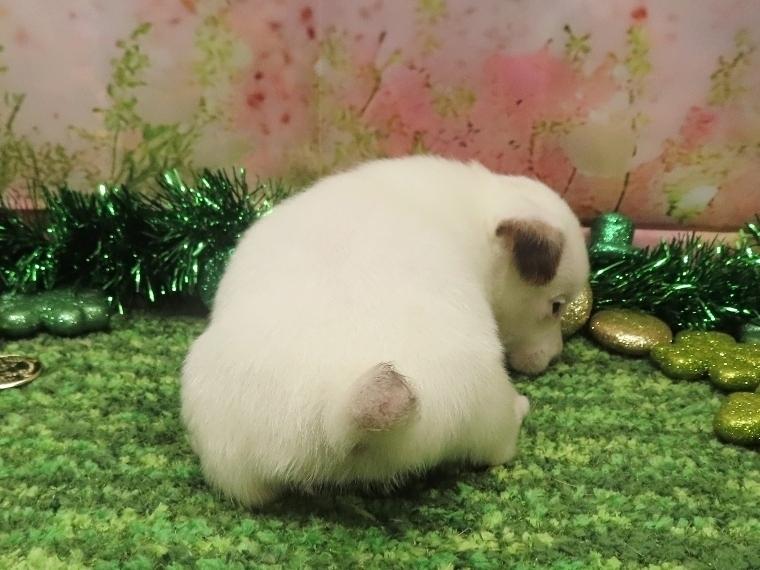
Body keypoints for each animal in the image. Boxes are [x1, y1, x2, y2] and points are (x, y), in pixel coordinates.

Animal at [181, 155, 589, 507]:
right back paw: (520, 407)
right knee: (498, 445)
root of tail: (340, 409)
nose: (555, 357)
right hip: (489, 401)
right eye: (557, 306)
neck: (476, 207)